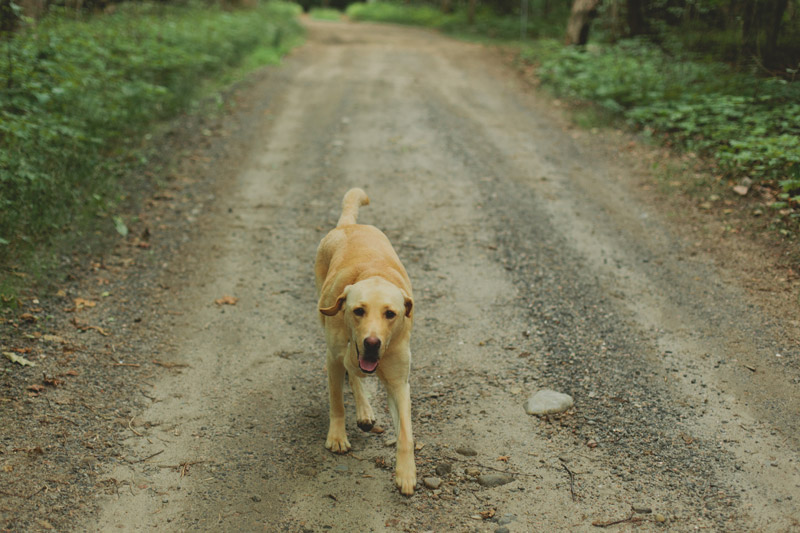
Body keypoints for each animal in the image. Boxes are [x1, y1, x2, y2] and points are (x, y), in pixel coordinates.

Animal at [314, 187, 418, 494]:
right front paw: (337, 436)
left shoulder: (399, 382)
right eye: (358, 310)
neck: (374, 275)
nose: (372, 343)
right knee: (353, 374)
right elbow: (337, 402)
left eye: (390, 314)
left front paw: (406, 472)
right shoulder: (333, 361)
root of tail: (349, 225)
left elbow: (405, 431)